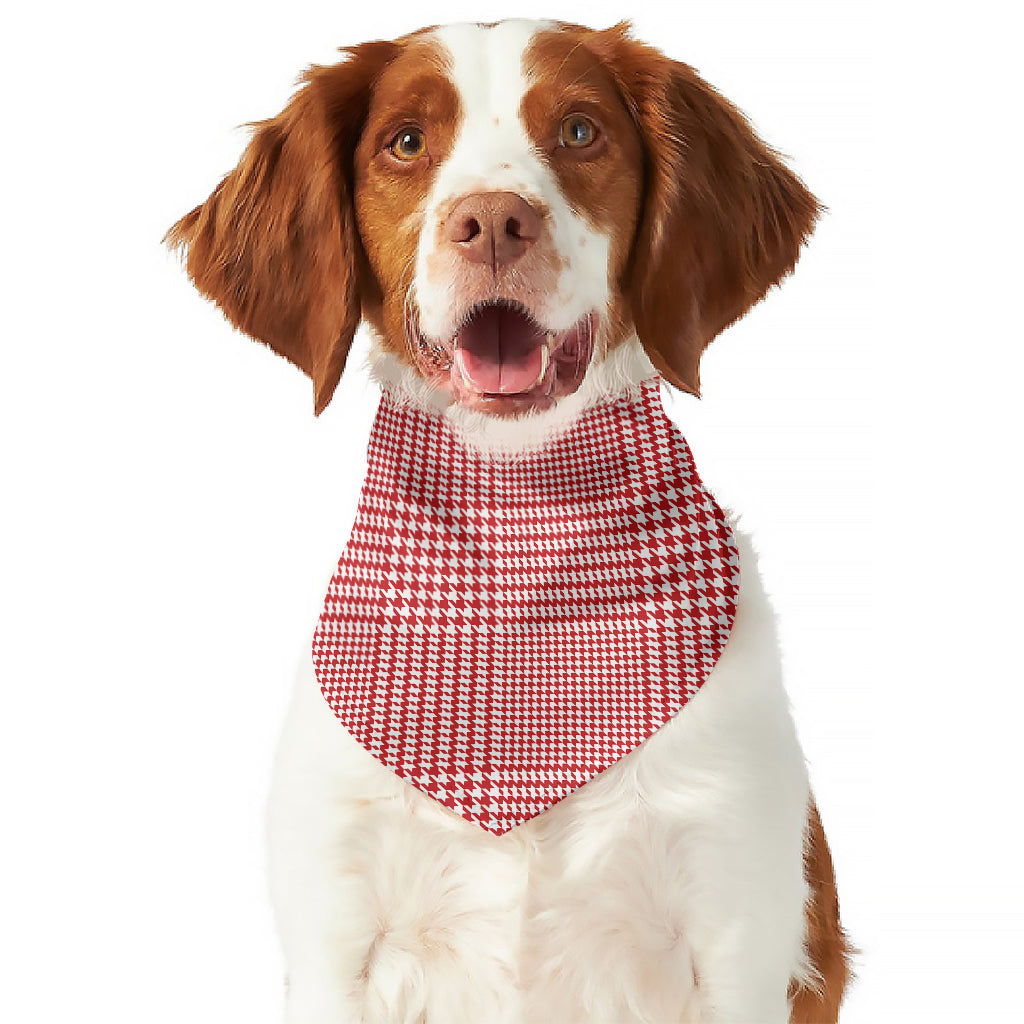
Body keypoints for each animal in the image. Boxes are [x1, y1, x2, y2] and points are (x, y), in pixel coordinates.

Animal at [167, 16, 851, 1024]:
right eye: (406, 142)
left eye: (579, 131)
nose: (492, 221)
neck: (519, 518)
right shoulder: (336, 928)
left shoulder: (737, 920)